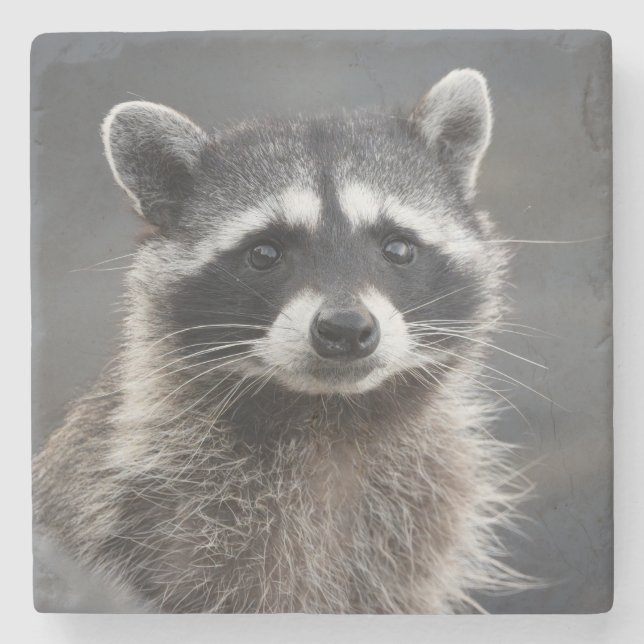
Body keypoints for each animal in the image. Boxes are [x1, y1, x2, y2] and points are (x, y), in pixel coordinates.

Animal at [33, 69, 528, 613]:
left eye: (397, 248)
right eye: (264, 253)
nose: (346, 328)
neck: (328, 417)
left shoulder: (418, 515)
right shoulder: (140, 503)